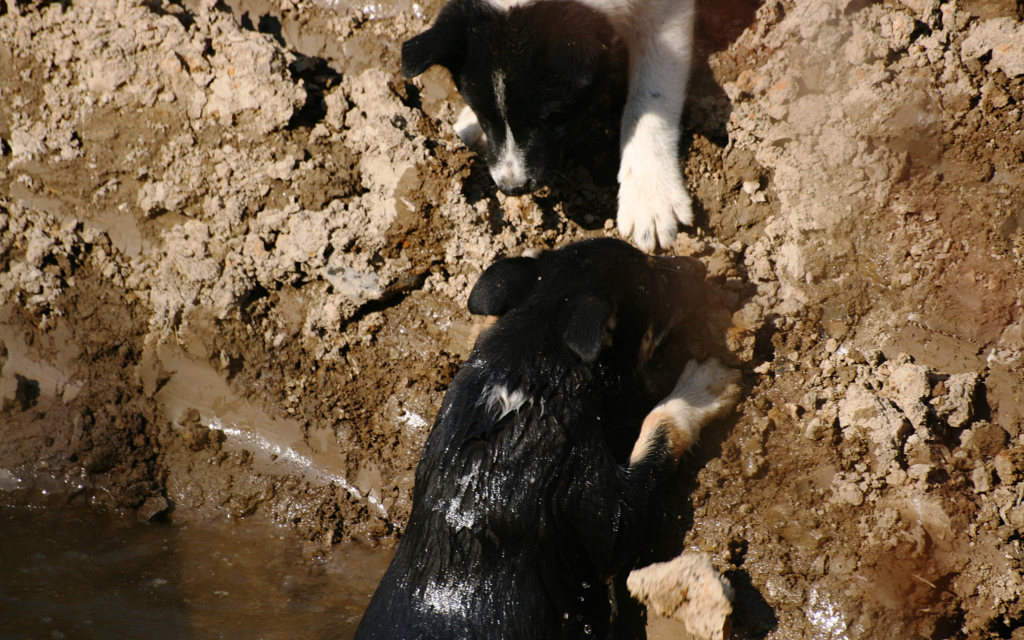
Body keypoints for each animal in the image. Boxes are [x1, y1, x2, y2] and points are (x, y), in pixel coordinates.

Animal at [352, 238, 737, 638]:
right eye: (654, 285)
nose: (700, 266)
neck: (524, 377)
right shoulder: (603, 513)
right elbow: (659, 428)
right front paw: (706, 385)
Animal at [399, 0, 696, 252]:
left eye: (551, 117)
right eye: (482, 115)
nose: (512, 188)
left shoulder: (665, 16)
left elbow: (653, 96)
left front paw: (651, 196)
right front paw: (471, 123)